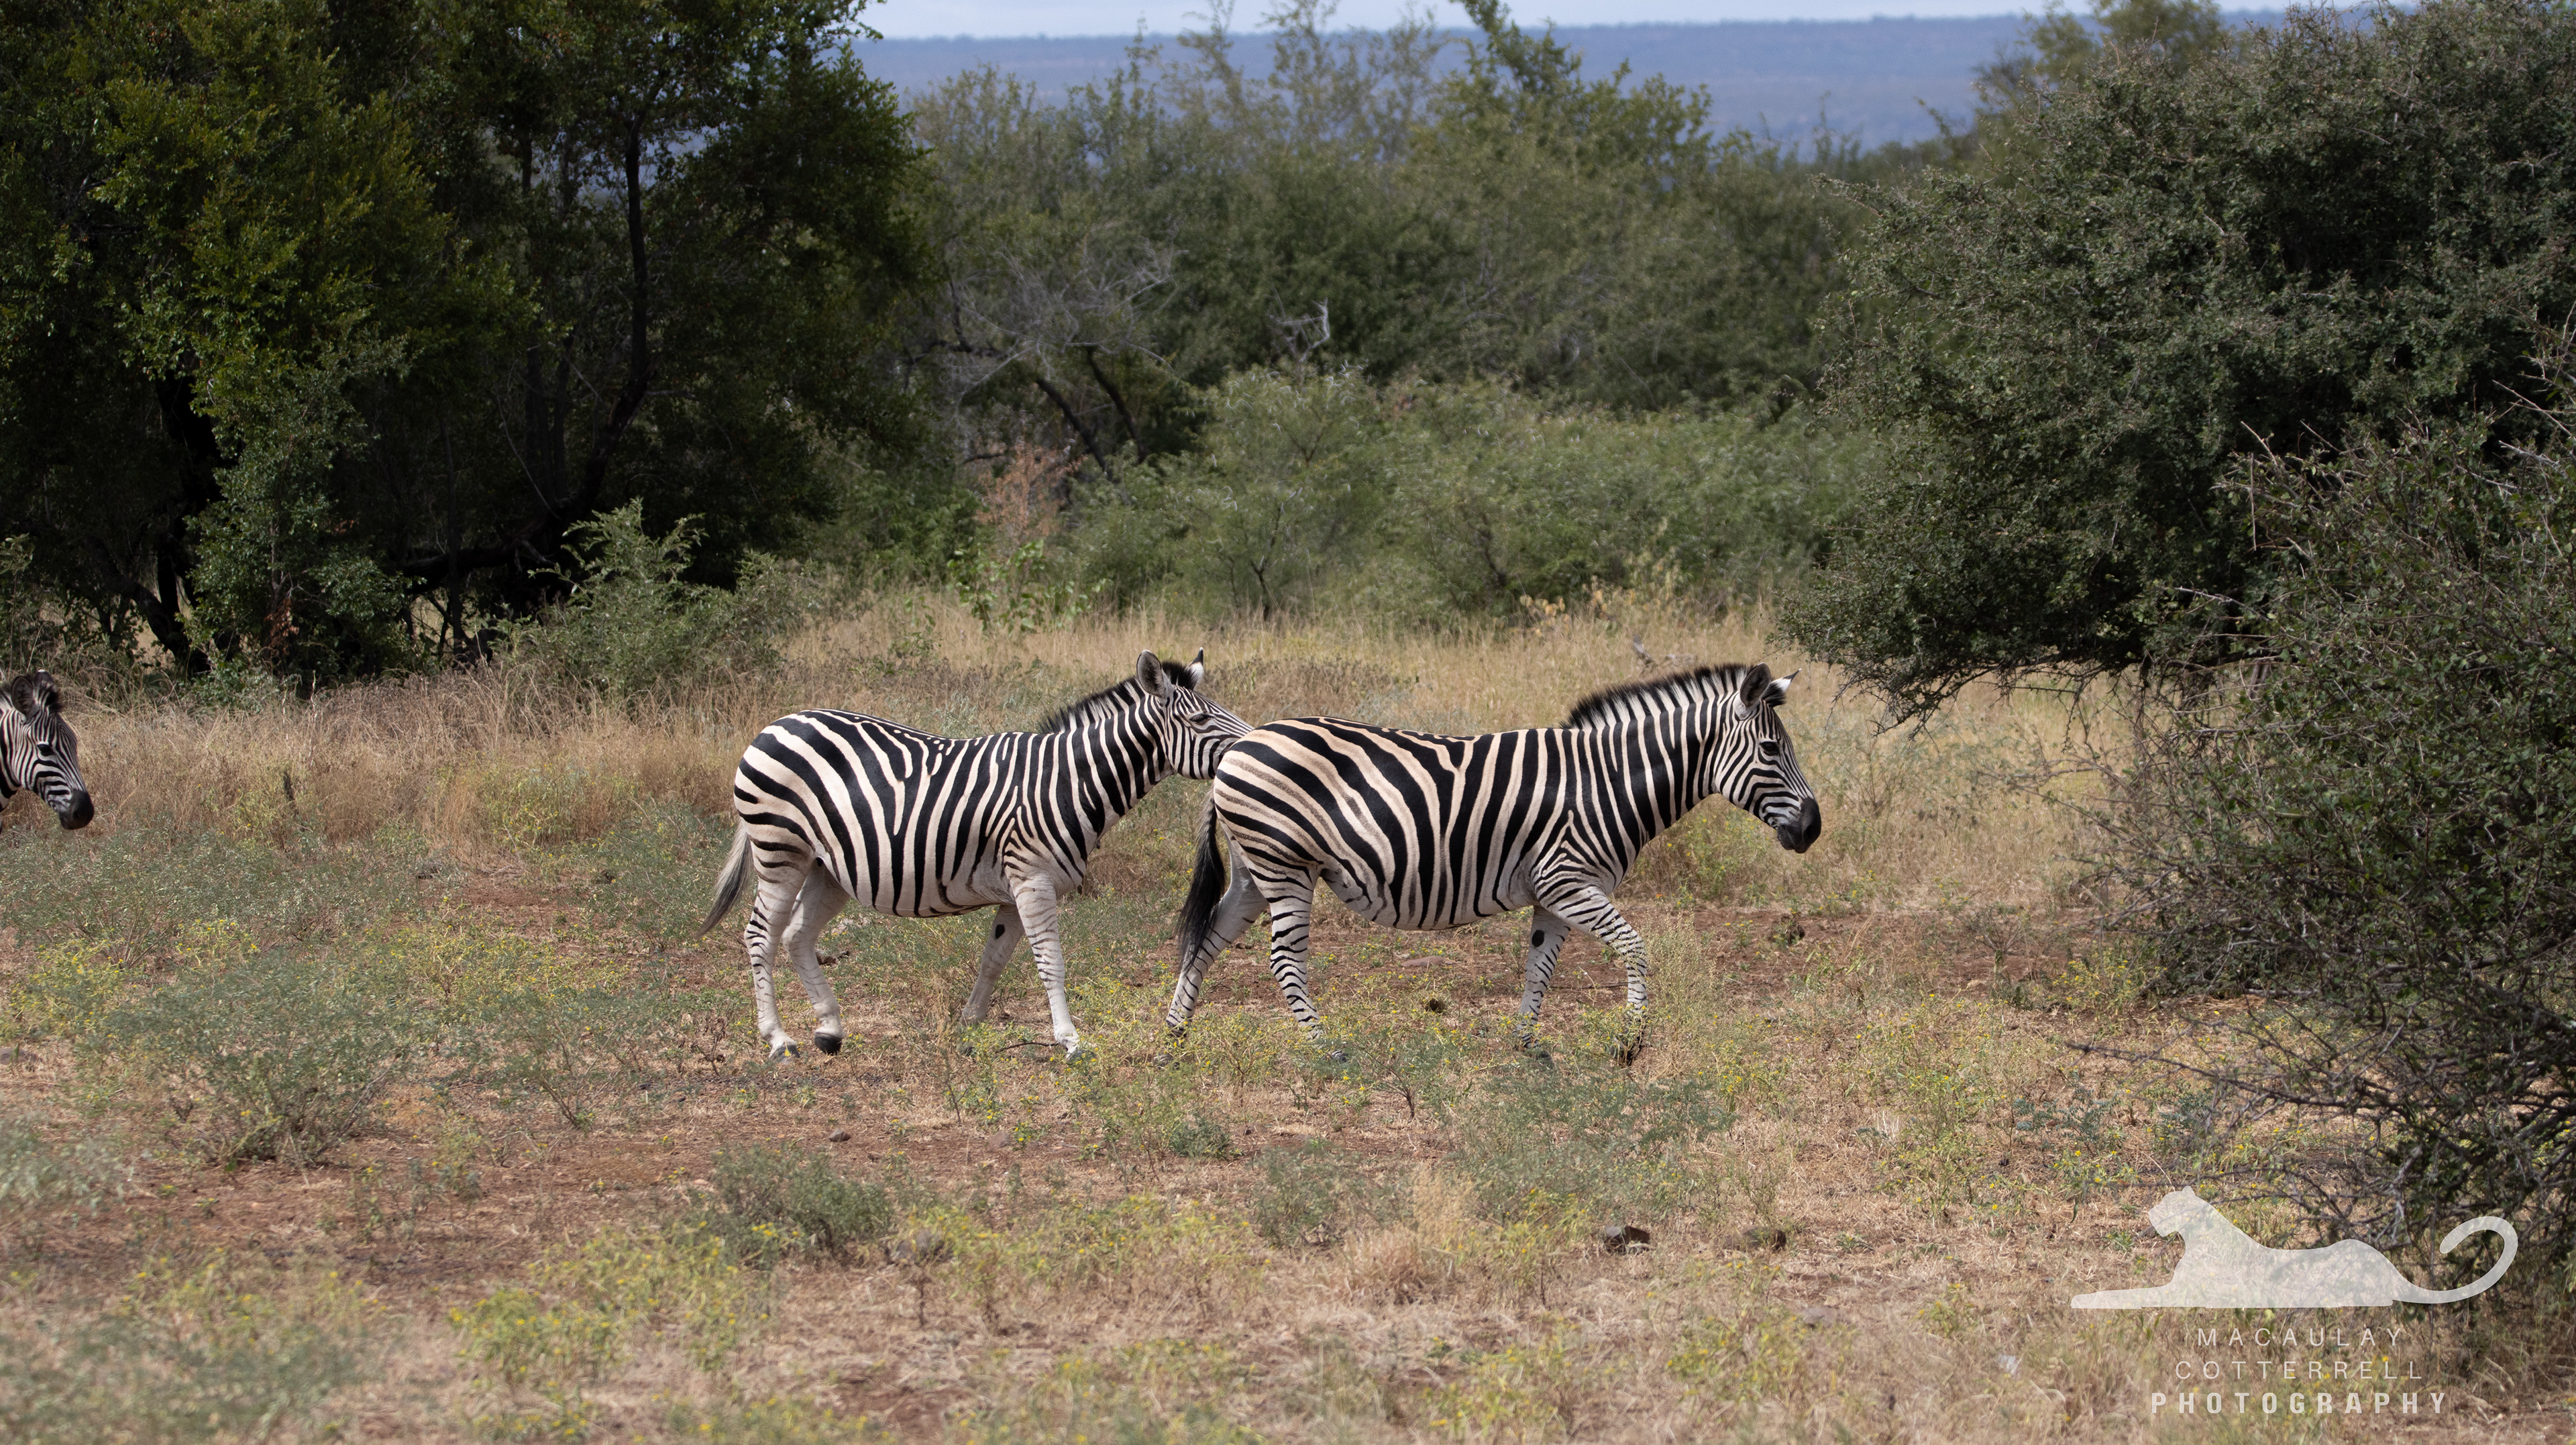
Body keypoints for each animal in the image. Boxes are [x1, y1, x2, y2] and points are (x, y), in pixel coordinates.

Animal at [701, 650, 1248, 1059]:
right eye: (1201, 719)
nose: (1250, 748)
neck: (1064, 782)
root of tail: (776, 724)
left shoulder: (1014, 891)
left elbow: (994, 961)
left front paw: (969, 1029)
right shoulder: (1032, 881)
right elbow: (1051, 963)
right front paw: (1071, 1042)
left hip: (828, 868)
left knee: (796, 935)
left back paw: (830, 1030)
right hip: (780, 851)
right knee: (760, 935)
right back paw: (778, 1040)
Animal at [1167, 663, 1819, 1055]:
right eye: (1770, 749)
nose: (1813, 829)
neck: (1607, 781)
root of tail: (1237, 749)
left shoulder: (1554, 895)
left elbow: (1540, 970)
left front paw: (1528, 1048)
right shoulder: (1569, 880)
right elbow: (1636, 949)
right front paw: (1629, 1045)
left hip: (1256, 873)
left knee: (1205, 943)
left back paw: (1173, 1043)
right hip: (1285, 867)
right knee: (1283, 960)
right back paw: (1327, 1049)